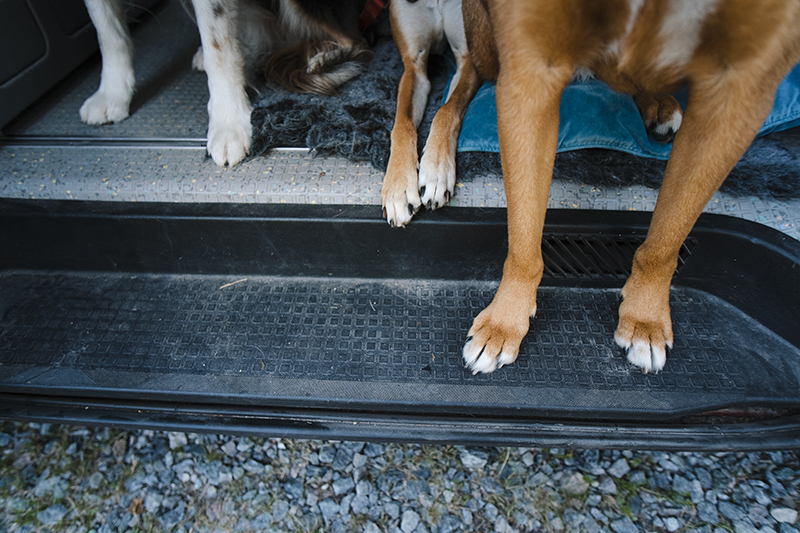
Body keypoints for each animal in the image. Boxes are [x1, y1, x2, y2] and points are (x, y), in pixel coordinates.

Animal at [460, 0, 800, 374]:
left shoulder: (739, 94)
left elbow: (667, 238)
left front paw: (645, 318)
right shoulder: (529, 75)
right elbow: (523, 239)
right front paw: (505, 322)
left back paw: (658, 102)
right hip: (485, 43)